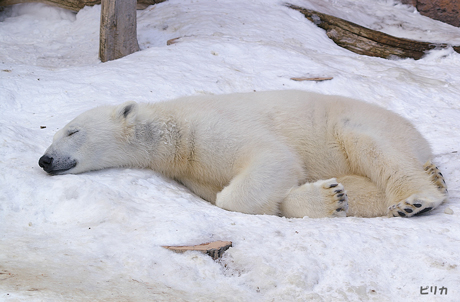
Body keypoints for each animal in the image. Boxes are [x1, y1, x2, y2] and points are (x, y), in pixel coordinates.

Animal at [37, 89, 448, 217]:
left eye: (72, 131)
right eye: (52, 135)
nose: (44, 160)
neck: (176, 131)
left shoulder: (212, 130)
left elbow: (270, 158)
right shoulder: (193, 172)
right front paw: (330, 198)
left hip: (355, 123)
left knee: (375, 149)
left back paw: (417, 198)